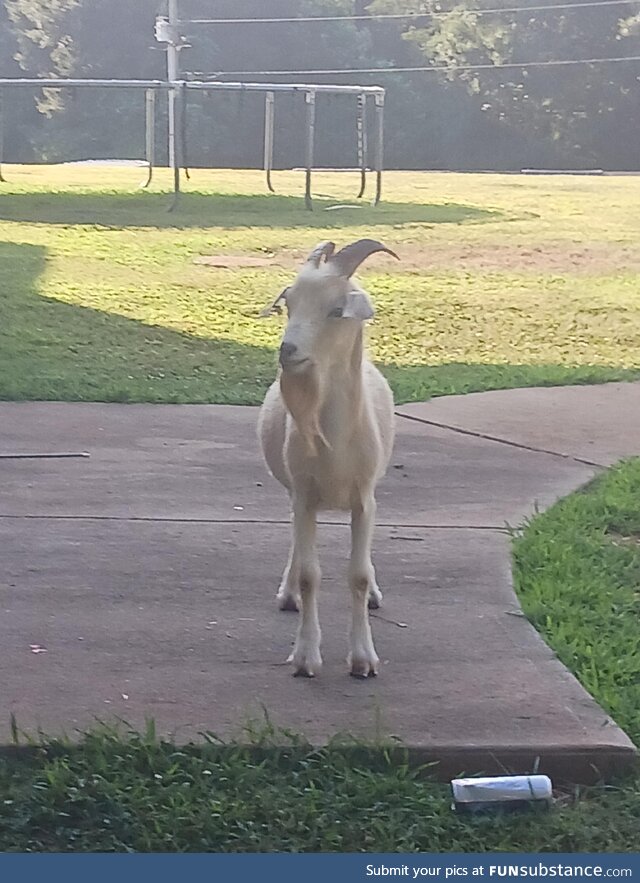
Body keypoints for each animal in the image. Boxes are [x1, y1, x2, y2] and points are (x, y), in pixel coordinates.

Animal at [257, 239, 398, 678]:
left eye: (337, 310)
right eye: (289, 303)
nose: (288, 350)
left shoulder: (364, 499)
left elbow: (357, 575)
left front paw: (364, 659)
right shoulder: (304, 495)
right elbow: (309, 575)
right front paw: (305, 657)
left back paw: (375, 594)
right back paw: (287, 595)